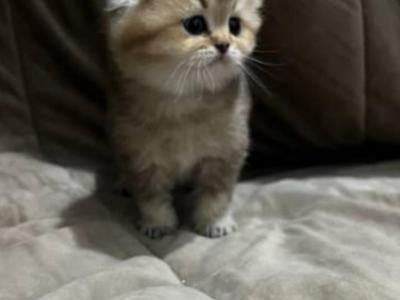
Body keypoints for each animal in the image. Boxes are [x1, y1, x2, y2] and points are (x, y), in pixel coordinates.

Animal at [106, 0, 262, 239]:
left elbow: (217, 194)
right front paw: (158, 223)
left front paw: (215, 222)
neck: (186, 102)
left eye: (234, 25)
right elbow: (151, 197)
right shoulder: (142, 157)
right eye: (195, 24)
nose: (224, 44)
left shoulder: (225, 153)